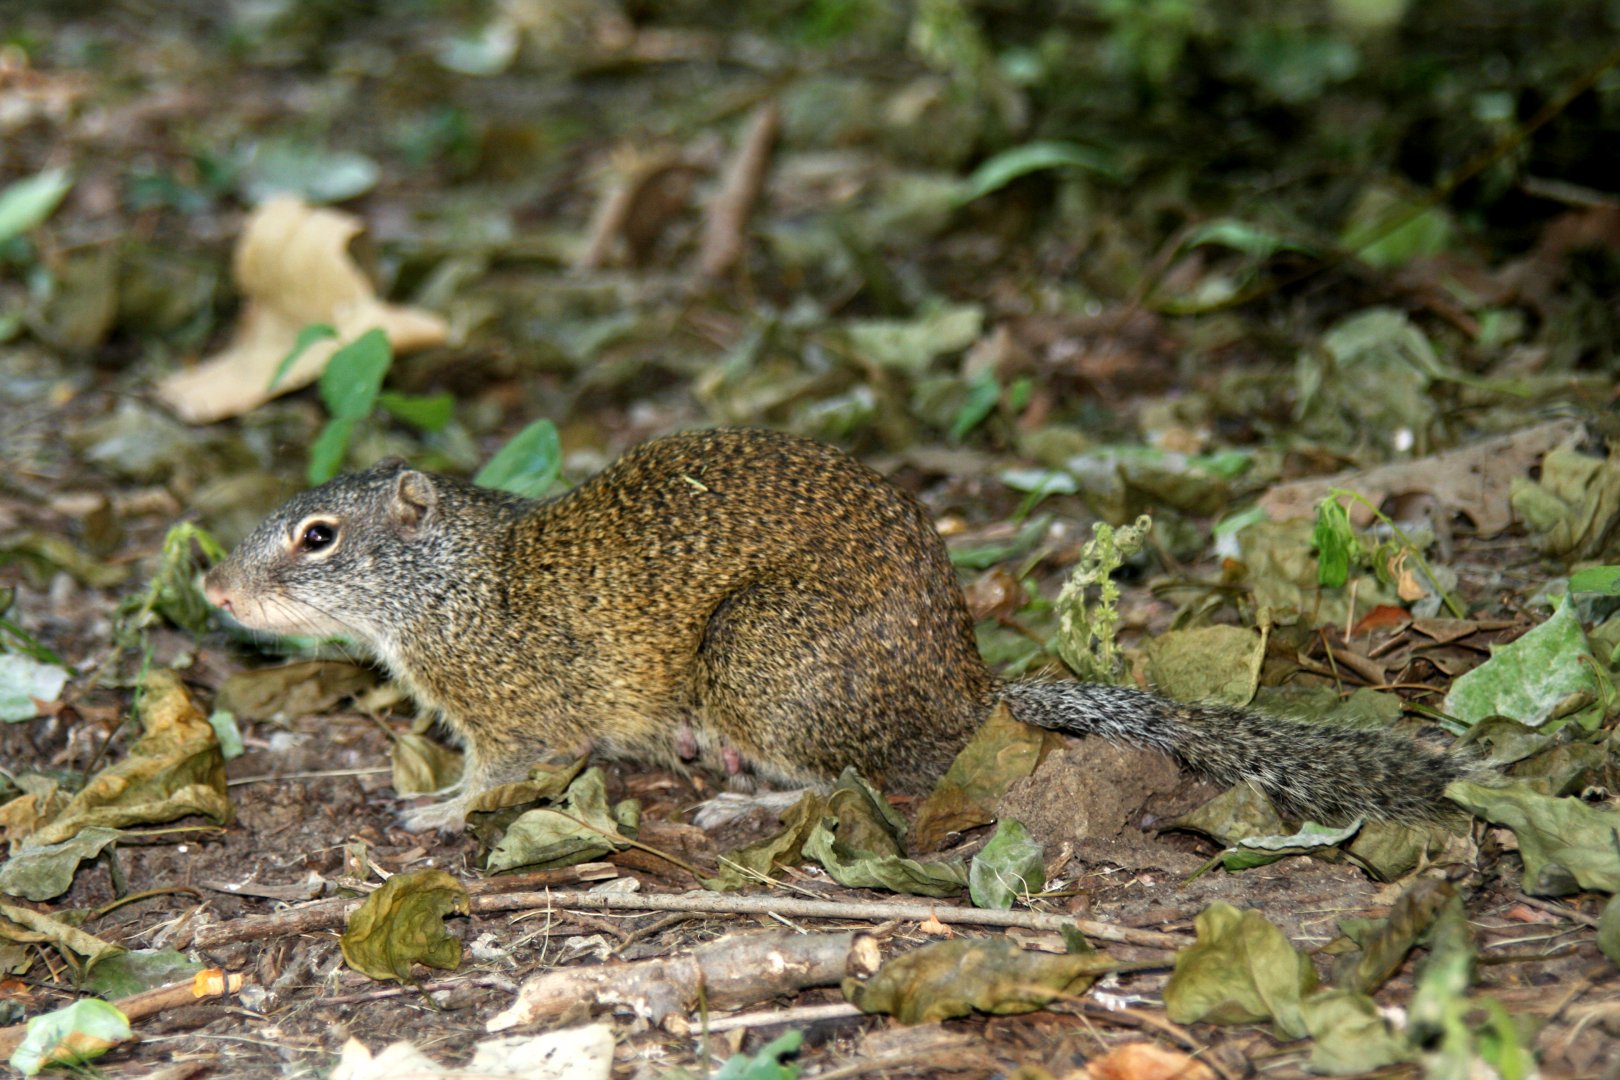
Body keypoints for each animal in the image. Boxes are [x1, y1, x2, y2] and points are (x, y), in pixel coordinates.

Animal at [204, 427, 1479, 832]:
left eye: (316, 536)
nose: (211, 589)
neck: (449, 582)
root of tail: (971, 688)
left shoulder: (517, 711)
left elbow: (500, 772)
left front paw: (436, 811)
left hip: (757, 662)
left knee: (851, 780)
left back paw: (747, 800)